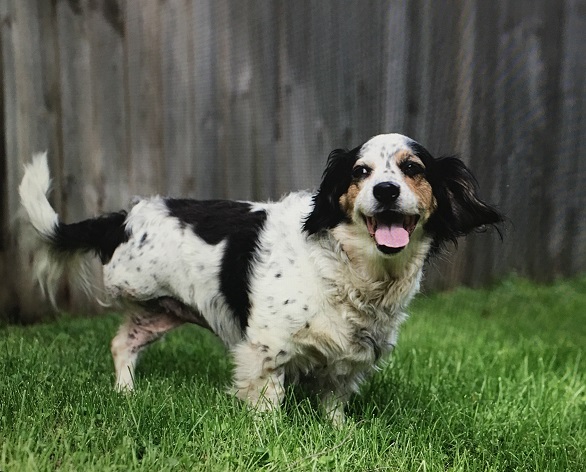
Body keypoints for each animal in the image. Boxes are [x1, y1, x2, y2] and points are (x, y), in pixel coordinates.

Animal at [19, 133, 503, 424]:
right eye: (360, 172)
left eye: (413, 168)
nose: (386, 190)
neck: (351, 269)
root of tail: (122, 218)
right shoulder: (266, 348)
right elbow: (266, 402)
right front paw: (267, 433)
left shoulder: (348, 360)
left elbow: (334, 401)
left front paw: (340, 432)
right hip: (142, 291)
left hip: (159, 313)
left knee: (122, 344)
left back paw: (126, 393)